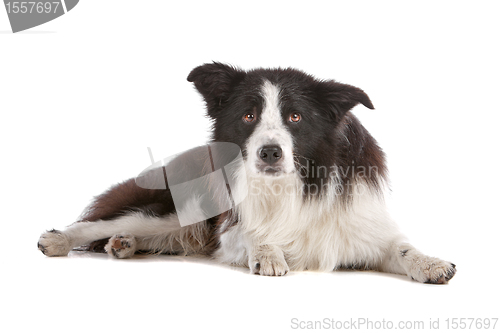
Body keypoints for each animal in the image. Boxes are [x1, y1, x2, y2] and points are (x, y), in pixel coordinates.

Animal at [37, 62, 456, 282]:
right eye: (248, 116)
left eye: (295, 117)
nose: (269, 151)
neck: (292, 186)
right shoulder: (229, 228)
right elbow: (254, 234)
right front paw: (268, 252)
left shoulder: (362, 226)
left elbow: (401, 247)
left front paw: (430, 263)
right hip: (177, 209)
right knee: (99, 223)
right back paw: (61, 240)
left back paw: (124, 244)